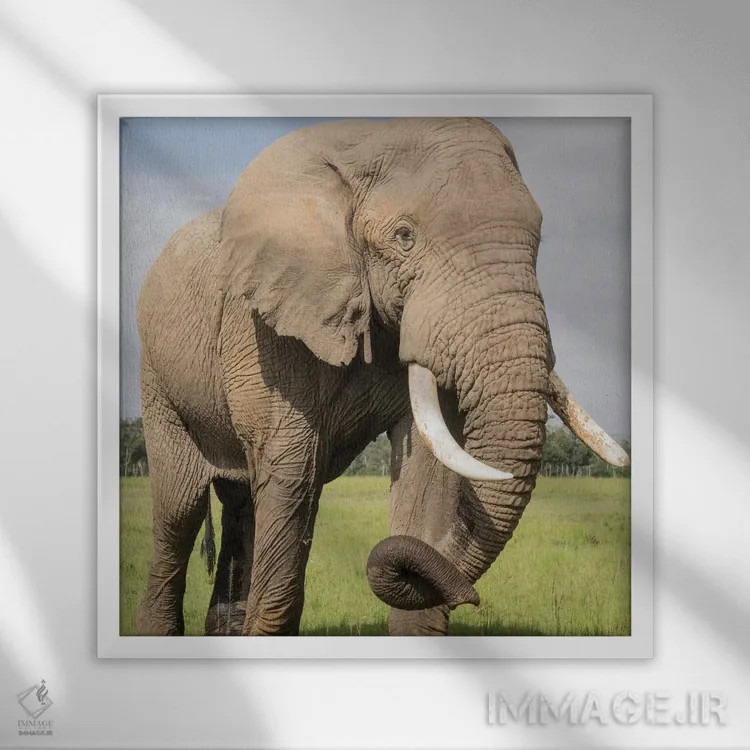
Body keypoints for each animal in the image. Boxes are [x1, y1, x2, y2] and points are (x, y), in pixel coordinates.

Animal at [135, 117, 628, 637]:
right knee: (180, 510)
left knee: (241, 500)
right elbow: (291, 469)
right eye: (404, 236)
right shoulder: (265, 326)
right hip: (157, 377)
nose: (472, 599)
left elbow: (429, 475)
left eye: (537, 240)